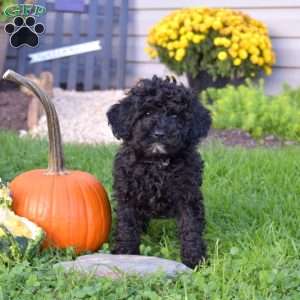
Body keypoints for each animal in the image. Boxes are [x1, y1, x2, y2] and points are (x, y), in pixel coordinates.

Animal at [107, 75, 211, 268]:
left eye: (175, 116)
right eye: (147, 113)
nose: (159, 133)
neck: (157, 162)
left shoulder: (187, 194)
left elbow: (190, 225)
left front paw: (194, 258)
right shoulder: (127, 194)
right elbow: (127, 225)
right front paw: (126, 252)